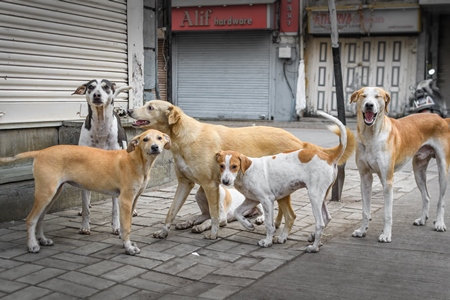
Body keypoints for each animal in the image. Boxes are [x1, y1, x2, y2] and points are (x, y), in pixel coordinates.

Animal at [0, 129, 171, 255]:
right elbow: (126, 226)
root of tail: (40, 152)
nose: (155, 147)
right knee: (30, 219)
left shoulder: (133, 200)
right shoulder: (125, 200)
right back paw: (32, 245)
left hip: (52, 194)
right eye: (145, 140)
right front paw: (128, 248)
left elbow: (128, 224)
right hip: (45, 193)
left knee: (39, 219)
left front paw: (126, 243)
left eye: (159, 138)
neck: (137, 161)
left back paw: (42, 240)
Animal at [72, 79, 132, 234]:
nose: (97, 95)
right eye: (90, 87)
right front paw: (85, 226)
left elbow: (115, 208)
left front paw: (116, 226)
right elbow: (85, 204)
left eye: (106, 87)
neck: (100, 127)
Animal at [352, 87, 450, 244]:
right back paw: (422, 219)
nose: (369, 105)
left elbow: (387, 214)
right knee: (426, 196)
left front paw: (386, 235)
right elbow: (365, 210)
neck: (371, 136)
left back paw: (440, 223)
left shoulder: (387, 181)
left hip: (443, 170)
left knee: (441, 200)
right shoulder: (365, 177)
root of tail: (441, 119)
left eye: (377, 96)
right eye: (363, 96)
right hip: (418, 170)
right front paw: (362, 231)